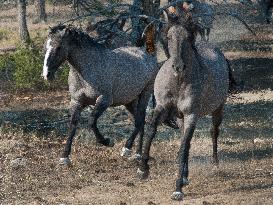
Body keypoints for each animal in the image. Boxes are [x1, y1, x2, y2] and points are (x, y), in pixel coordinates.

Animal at [41, 24, 158, 164]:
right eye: (46, 46)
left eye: (59, 47)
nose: (46, 74)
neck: (88, 69)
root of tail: (148, 53)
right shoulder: (76, 101)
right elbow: (72, 125)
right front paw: (64, 157)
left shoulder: (104, 100)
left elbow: (92, 121)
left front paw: (107, 141)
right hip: (130, 101)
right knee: (140, 121)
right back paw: (137, 154)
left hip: (145, 94)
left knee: (140, 121)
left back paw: (127, 149)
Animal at [137, 22, 228, 200]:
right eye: (169, 37)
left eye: (188, 37)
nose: (178, 66)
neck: (178, 82)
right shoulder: (162, 107)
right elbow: (151, 131)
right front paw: (143, 169)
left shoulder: (191, 114)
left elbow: (185, 145)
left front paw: (178, 187)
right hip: (180, 119)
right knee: (184, 138)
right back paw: (186, 175)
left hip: (218, 109)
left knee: (214, 132)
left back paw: (215, 163)